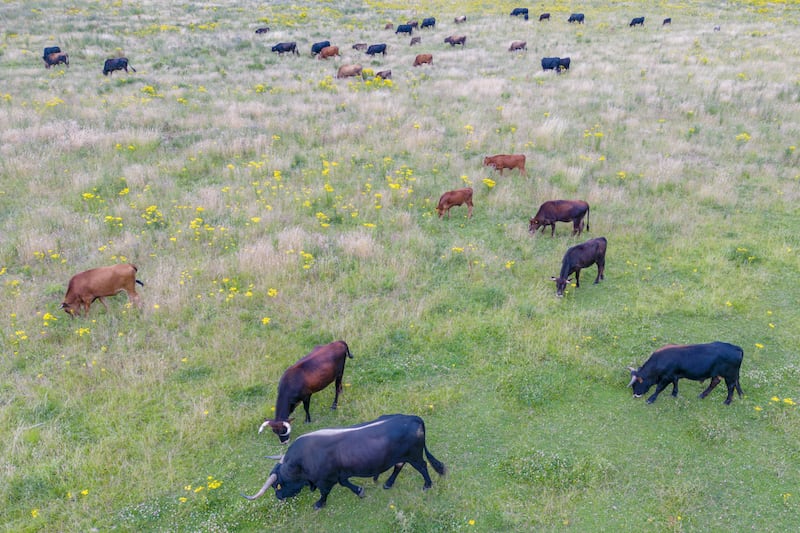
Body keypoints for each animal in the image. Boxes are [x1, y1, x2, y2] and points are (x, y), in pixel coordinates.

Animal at [241, 412, 446, 508]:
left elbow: (325, 492)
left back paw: (427, 485)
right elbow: (346, 483)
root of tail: (413, 418)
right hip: (403, 456)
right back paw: (388, 483)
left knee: (423, 466)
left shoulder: (325, 480)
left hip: (415, 455)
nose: (279, 497)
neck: (301, 462)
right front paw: (360, 491)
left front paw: (319, 504)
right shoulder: (339, 474)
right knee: (398, 465)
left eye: (279, 485)